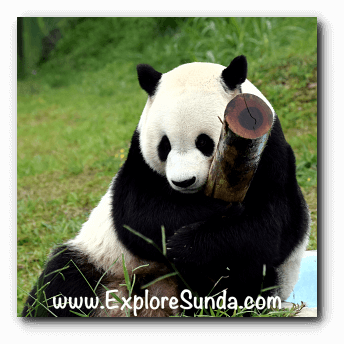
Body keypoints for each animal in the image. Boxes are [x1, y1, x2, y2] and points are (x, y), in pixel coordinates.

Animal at [22, 55, 310, 318]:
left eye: (204, 142)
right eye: (164, 145)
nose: (184, 182)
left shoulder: (271, 154)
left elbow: (268, 226)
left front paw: (186, 244)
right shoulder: (138, 160)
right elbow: (139, 215)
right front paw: (217, 211)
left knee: (239, 281)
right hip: (103, 261)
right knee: (62, 281)